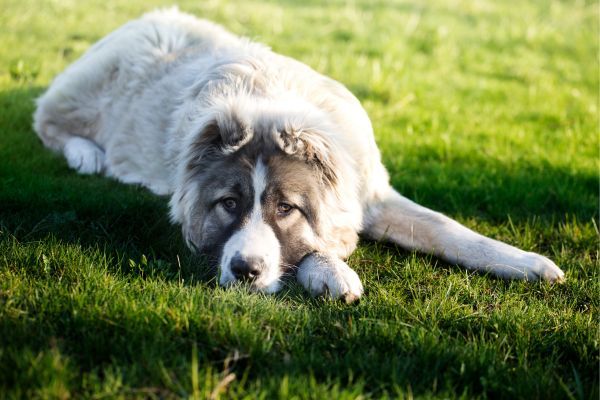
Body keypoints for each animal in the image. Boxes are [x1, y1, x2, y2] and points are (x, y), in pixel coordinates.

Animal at [32, 7, 564, 304]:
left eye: (286, 208)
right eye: (228, 204)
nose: (245, 272)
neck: (271, 103)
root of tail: (146, 19)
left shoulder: (371, 194)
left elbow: (447, 228)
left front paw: (527, 263)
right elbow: (314, 249)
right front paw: (333, 274)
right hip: (82, 97)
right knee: (47, 123)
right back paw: (86, 155)